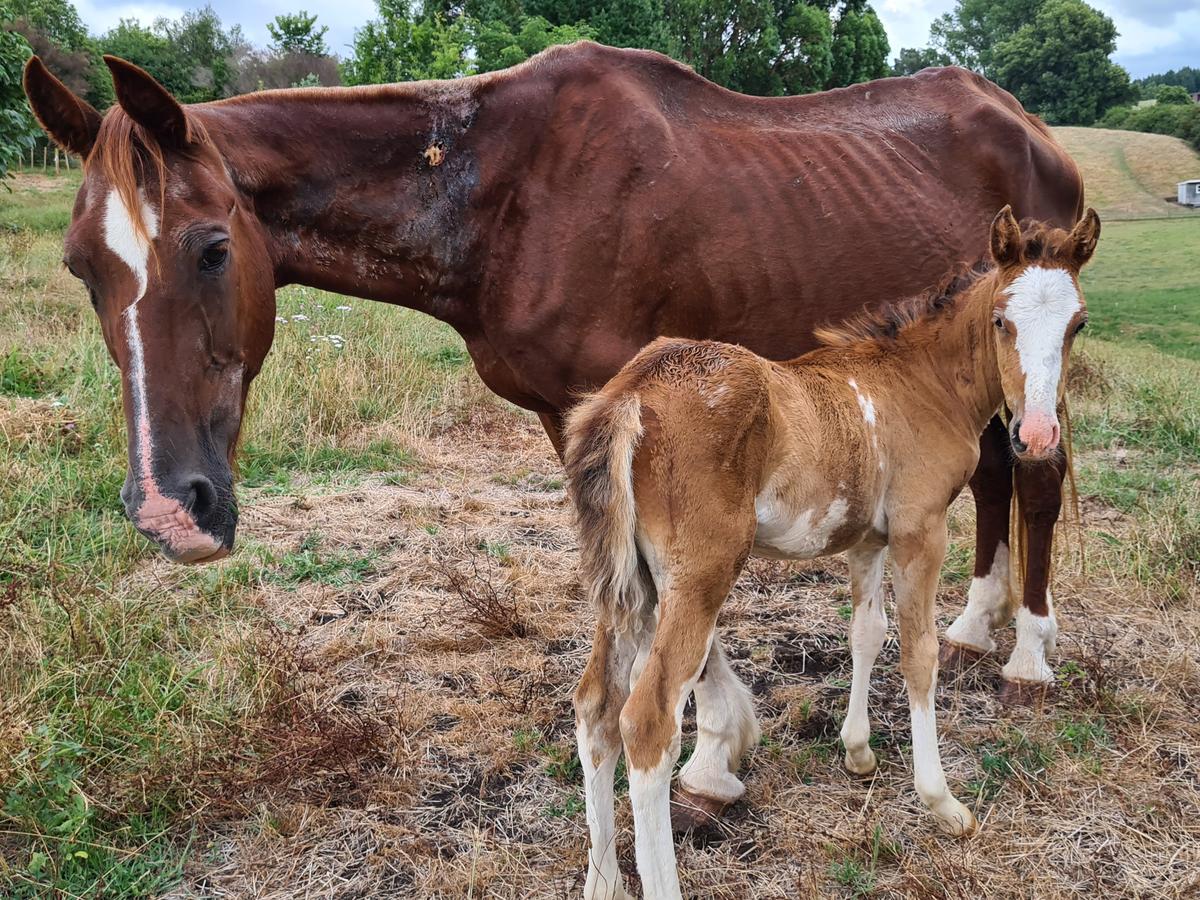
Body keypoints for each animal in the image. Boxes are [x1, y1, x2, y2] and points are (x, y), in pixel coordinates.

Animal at [23, 42, 1081, 718]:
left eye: (210, 249)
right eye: (80, 267)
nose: (170, 510)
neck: (505, 190)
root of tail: (1026, 124)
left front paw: (712, 755)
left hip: (1035, 353)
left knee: (1033, 476)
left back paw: (1029, 654)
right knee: (994, 471)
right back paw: (975, 625)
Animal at [564, 207, 1099, 899]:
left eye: (1078, 323)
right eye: (1001, 320)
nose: (1035, 434)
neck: (919, 381)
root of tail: (632, 392)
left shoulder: (866, 541)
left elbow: (866, 634)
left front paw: (859, 753)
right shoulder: (920, 530)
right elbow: (919, 652)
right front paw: (943, 803)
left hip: (630, 586)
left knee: (596, 709)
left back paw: (603, 880)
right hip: (697, 576)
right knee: (647, 720)